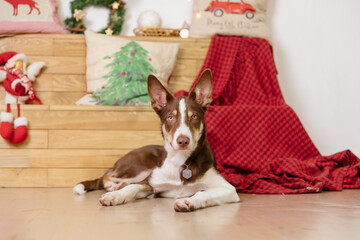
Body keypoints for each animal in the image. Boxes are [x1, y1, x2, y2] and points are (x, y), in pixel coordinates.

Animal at [73, 69, 239, 212]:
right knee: (106, 176)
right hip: (139, 167)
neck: (180, 162)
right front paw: (114, 196)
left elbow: (203, 193)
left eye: (194, 116)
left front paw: (188, 201)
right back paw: (114, 187)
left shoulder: (228, 189)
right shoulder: (149, 182)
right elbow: (132, 187)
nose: (183, 141)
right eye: (170, 117)